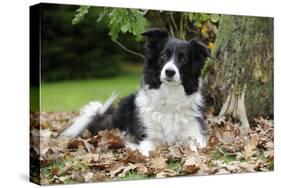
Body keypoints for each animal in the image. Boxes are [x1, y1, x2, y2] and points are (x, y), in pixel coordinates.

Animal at [61, 27, 210, 155]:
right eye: (163, 56)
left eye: (183, 58)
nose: (169, 72)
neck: (170, 95)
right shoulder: (147, 138)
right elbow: (147, 152)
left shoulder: (194, 134)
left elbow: (195, 149)